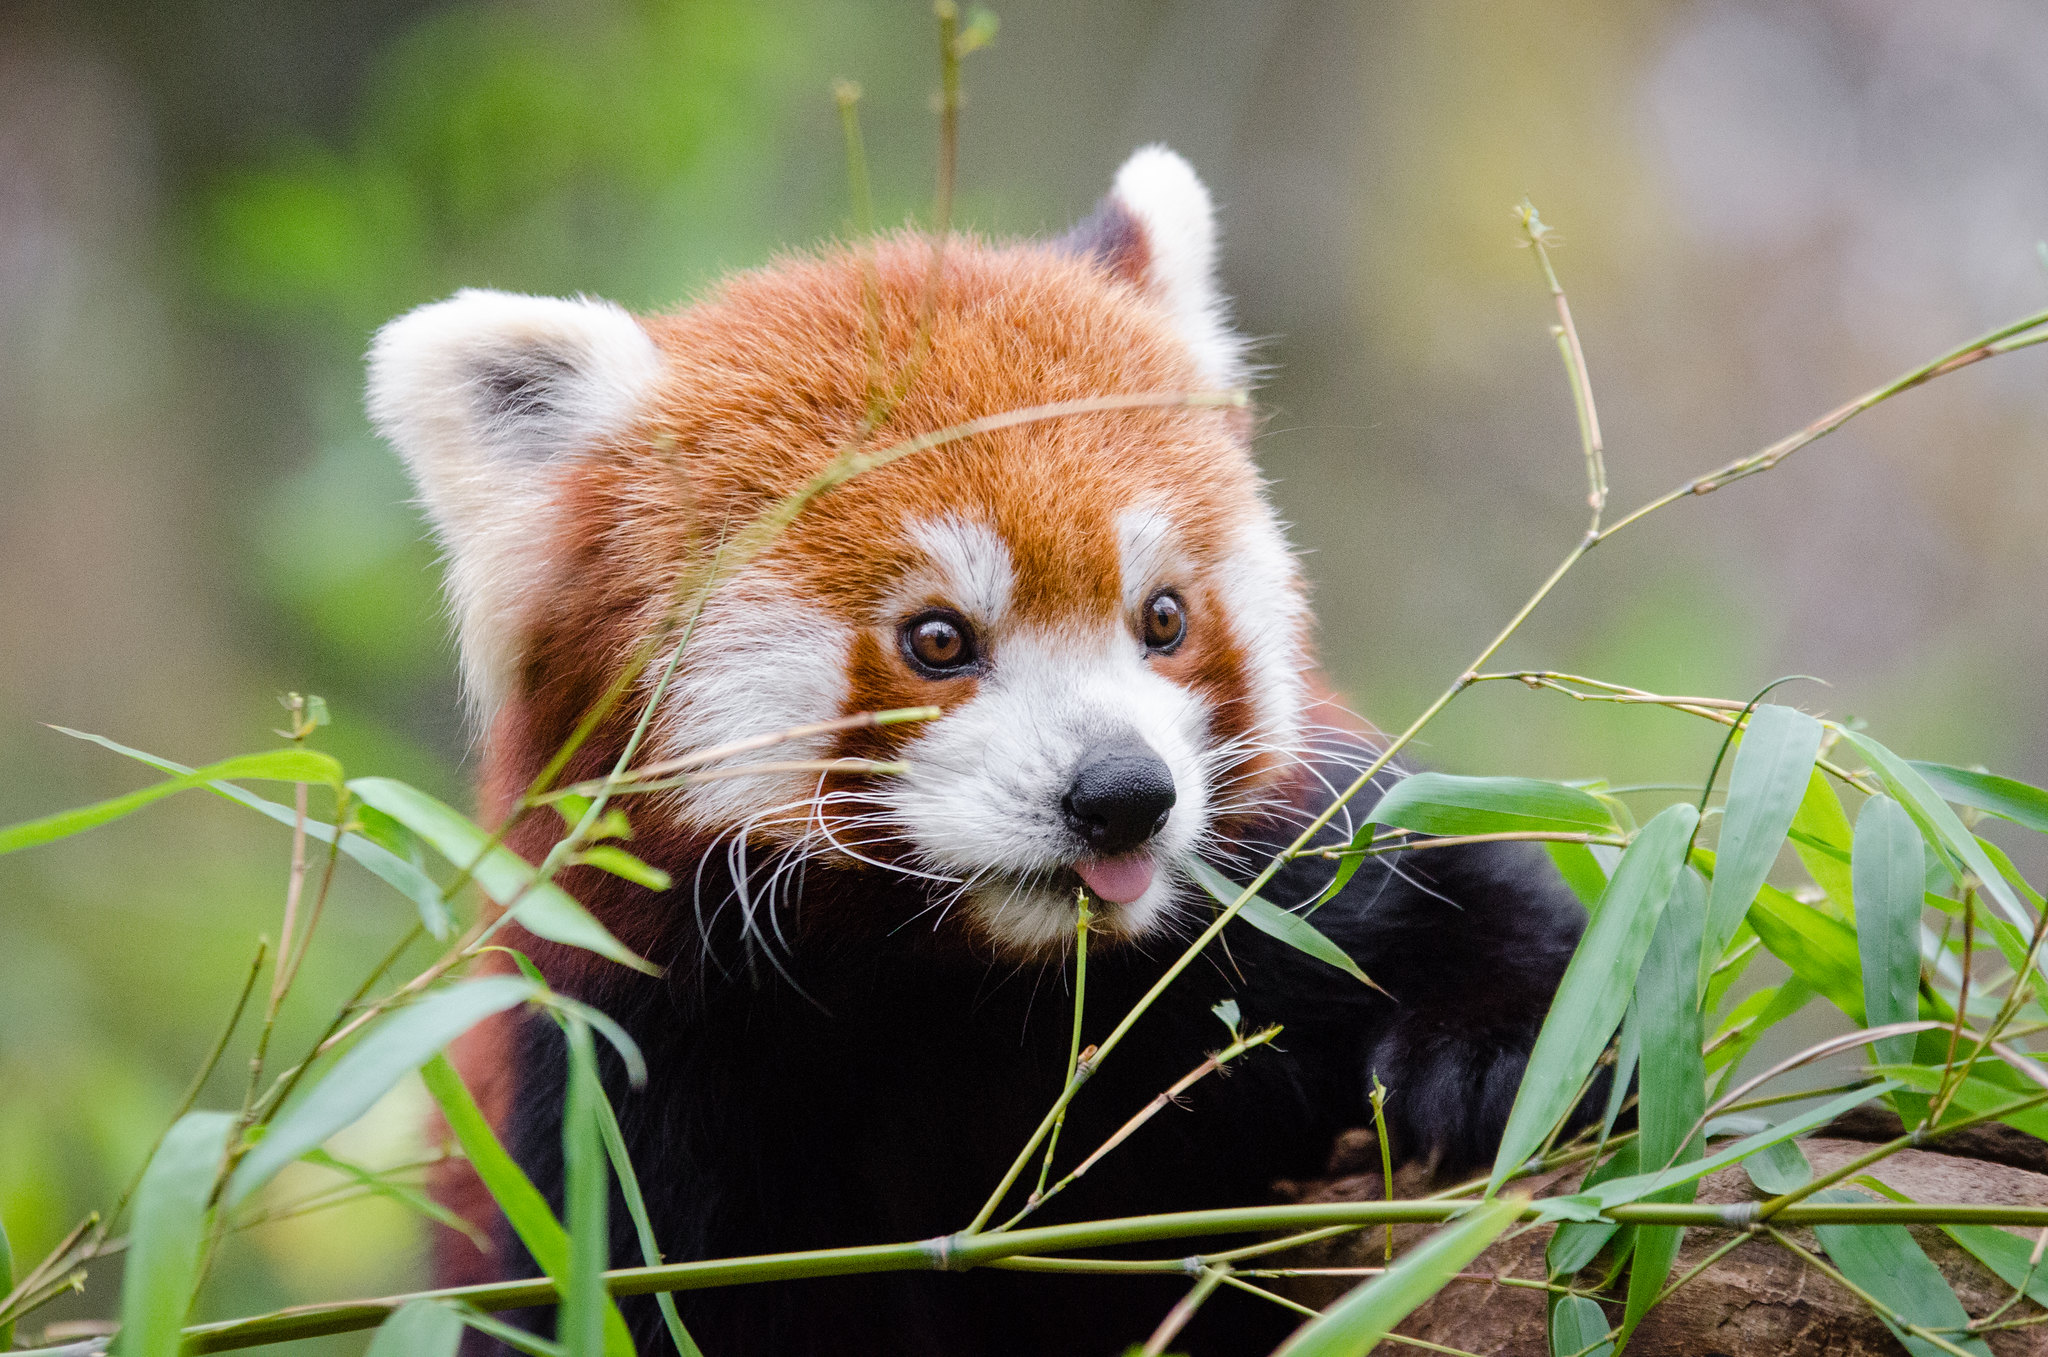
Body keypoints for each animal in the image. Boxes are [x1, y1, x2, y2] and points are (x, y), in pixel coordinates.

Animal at [364, 148, 1581, 1357]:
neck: (980, 987)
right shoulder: (615, 1077)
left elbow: (1476, 895)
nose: (1123, 794)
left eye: (1165, 618)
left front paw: (1502, 1054)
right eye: (938, 639)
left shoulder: (1282, 886)